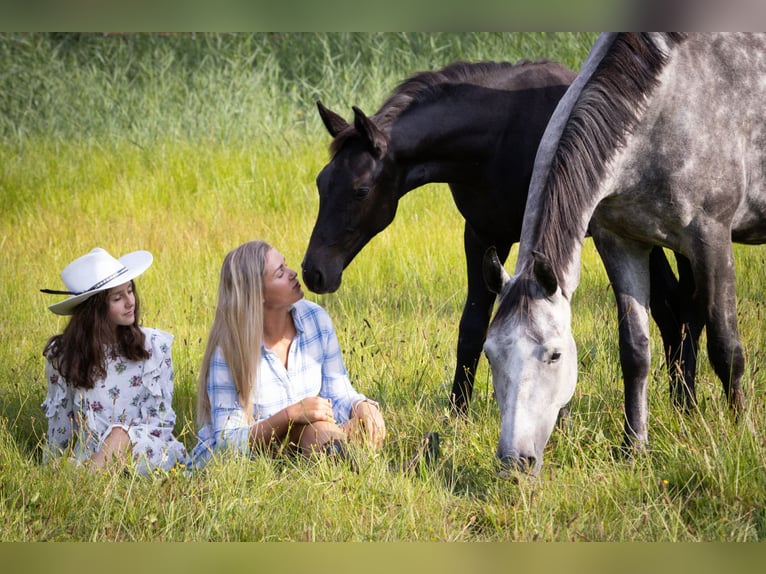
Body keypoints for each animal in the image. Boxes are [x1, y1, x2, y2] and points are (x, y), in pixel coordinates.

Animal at [302, 59, 698, 416]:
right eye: (321, 182)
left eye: (360, 190)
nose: (314, 272)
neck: (497, 137)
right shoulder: (481, 234)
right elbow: (472, 327)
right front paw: (458, 411)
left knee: (674, 308)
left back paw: (686, 402)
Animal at [482, 33, 765, 475]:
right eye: (490, 355)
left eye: (554, 355)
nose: (515, 460)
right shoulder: (620, 243)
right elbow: (635, 350)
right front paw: (634, 445)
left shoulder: (712, 239)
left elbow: (727, 348)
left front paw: (742, 436)